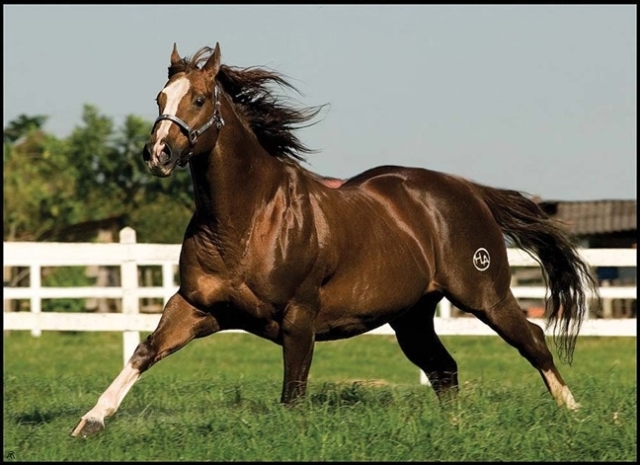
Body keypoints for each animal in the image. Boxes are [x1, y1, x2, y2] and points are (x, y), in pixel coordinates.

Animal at [71, 42, 599, 438]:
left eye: (198, 99)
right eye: (160, 98)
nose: (157, 152)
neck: (245, 222)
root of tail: (467, 190)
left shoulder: (298, 317)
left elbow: (293, 391)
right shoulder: (196, 306)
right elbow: (145, 352)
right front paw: (91, 421)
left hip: (484, 295)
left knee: (533, 341)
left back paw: (574, 413)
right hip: (412, 317)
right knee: (444, 369)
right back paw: (456, 430)